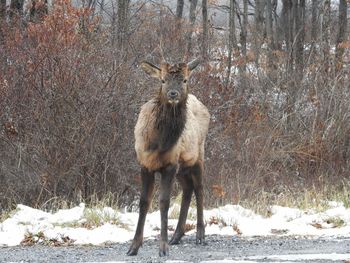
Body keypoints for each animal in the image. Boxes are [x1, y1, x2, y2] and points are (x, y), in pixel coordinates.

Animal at [128, 58, 211, 258]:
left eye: (185, 80)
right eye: (163, 80)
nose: (173, 94)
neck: (158, 144)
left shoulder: (170, 165)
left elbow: (164, 202)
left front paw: (163, 248)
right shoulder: (145, 164)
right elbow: (144, 202)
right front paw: (134, 246)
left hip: (198, 155)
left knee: (199, 188)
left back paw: (200, 234)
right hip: (183, 167)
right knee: (188, 189)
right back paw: (177, 235)